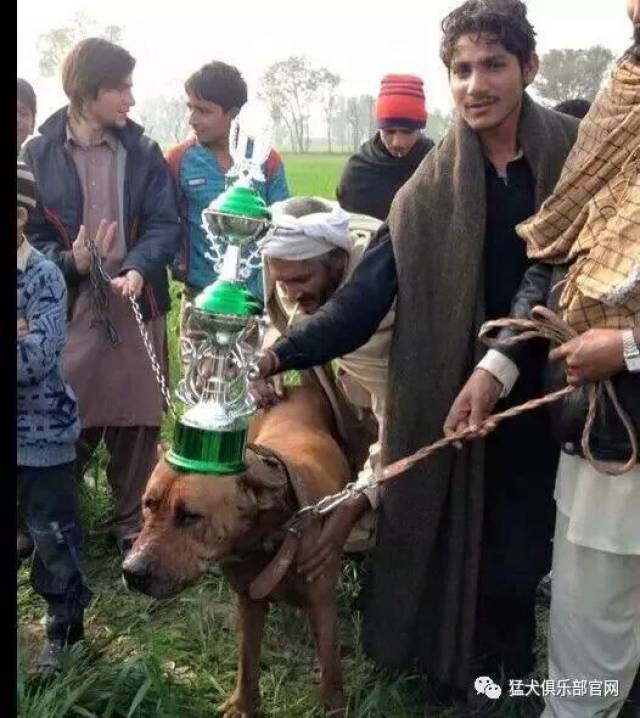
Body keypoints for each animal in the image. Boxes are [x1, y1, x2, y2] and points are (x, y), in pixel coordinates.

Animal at [122, 388, 352, 718]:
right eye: (148, 505)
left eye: (189, 516)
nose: (131, 571)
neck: (269, 536)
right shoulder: (247, 601)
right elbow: (247, 657)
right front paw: (243, 703)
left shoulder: (322, 604)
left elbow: (330, 667)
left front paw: (333, 705)